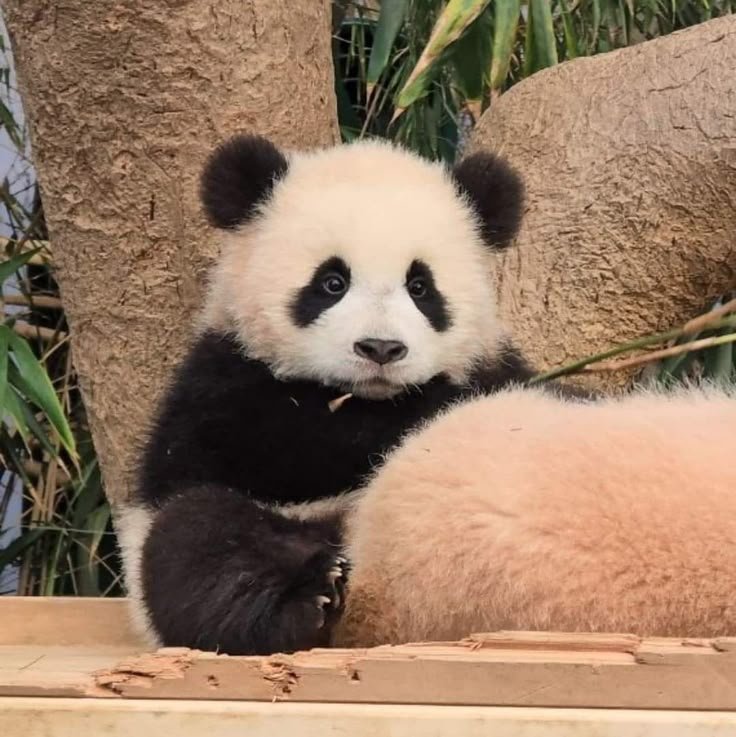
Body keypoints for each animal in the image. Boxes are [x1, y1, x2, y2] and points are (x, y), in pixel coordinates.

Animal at [115, 132, 573, 657]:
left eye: (420, 287)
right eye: (332, 282)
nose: (381, 348)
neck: (367, 396)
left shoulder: (492, 366)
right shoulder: (223, 386)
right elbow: (286, 444)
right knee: (199, 542)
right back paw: (302, 601)